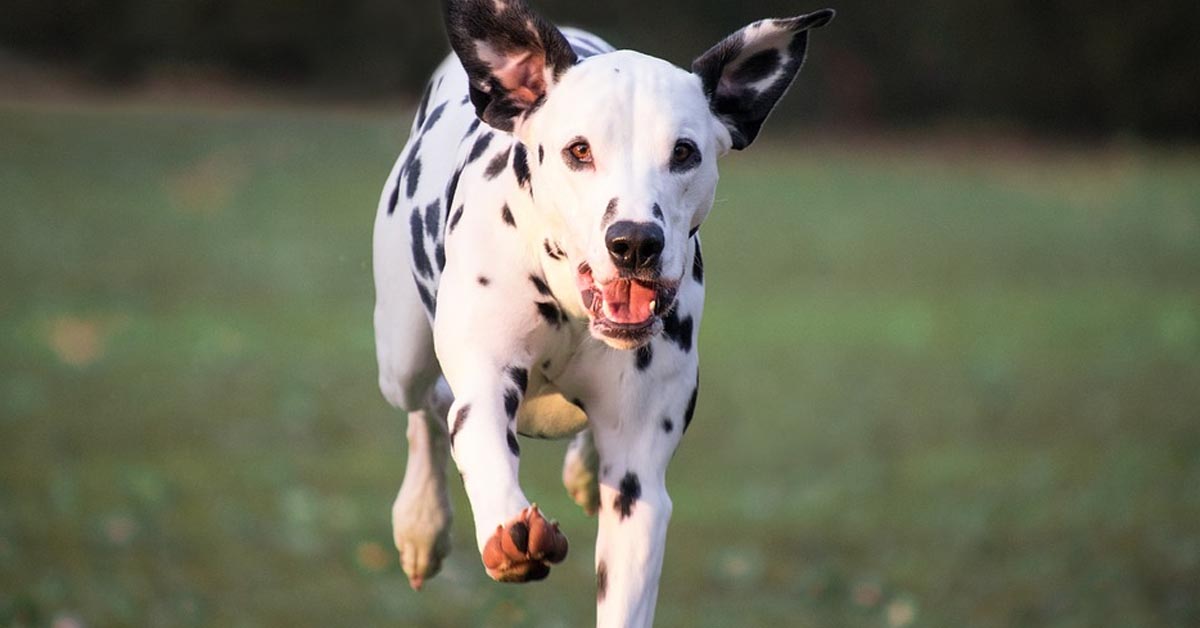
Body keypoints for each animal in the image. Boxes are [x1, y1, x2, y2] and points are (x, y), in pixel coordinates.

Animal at [374, 2, 835, 624]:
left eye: (684, 152)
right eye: (580, 150)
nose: (635, 242)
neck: (571, 306)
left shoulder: (640, 487)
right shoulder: (484, 381)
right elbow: (481, 442)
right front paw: (505, 534)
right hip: (401, 357)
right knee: (425, 409)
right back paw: (421, 522)